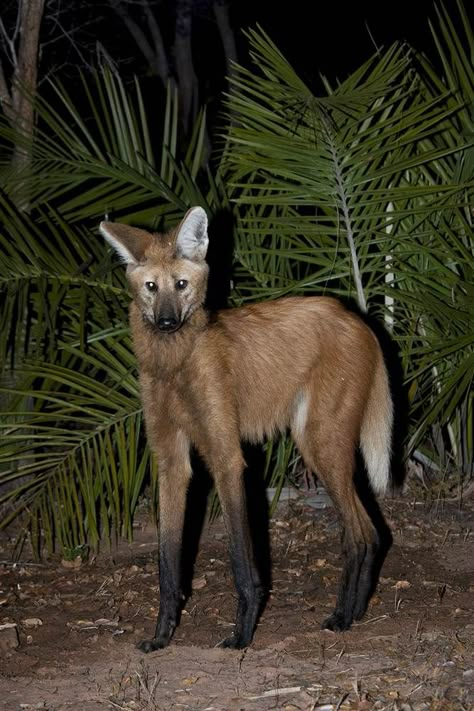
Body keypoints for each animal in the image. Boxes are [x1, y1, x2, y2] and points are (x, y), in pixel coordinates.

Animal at [100, 204, 392, 652]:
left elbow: (240, 557)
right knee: (373, 532)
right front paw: (161, 635)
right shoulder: (171, 460)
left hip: (318, 443)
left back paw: (342, 617)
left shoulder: (226, 456)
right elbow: (168, 562)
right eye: (151, 287)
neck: (175, 364)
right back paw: (357, 612)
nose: (166, 322)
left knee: (360, 534)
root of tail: (361, 322)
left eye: (181, 285)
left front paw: (241, 634)